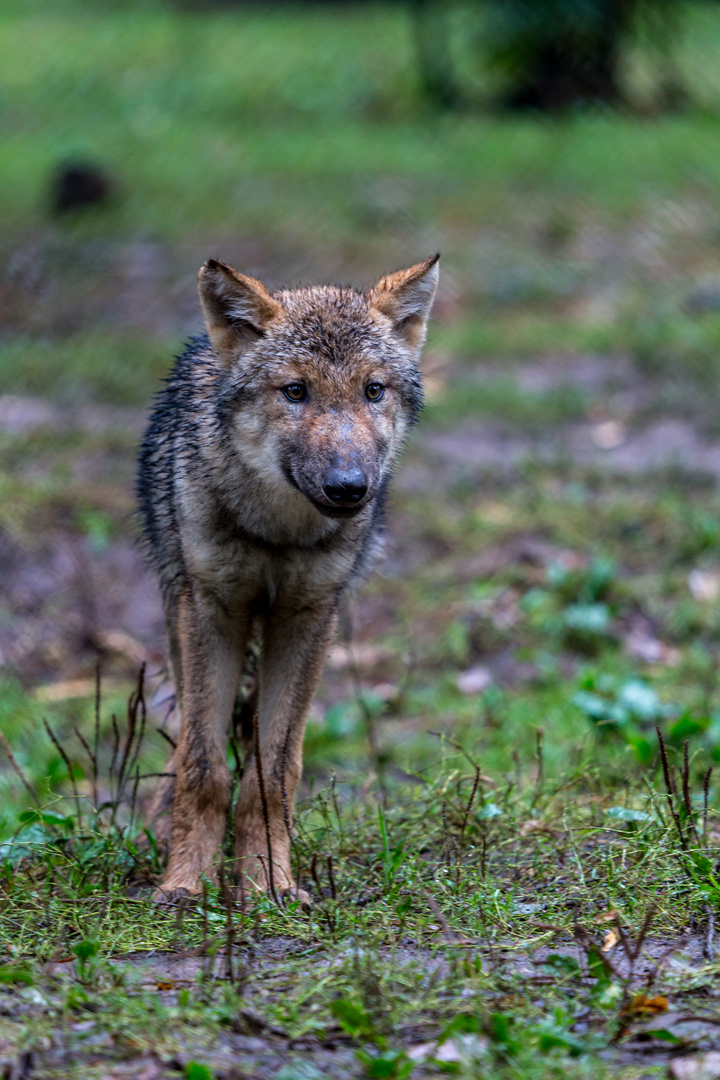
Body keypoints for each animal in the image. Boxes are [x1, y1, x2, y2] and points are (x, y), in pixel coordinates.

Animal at [134, 252, 440, 902]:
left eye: (373, 390)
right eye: (296, 392)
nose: (350, 488)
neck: (277, 532)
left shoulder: (308, 617)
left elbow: (273, 771)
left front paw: (267, 884)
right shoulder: (213, 611)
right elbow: (204, 765)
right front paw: (186, 884)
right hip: (179, 614)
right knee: (185, 738)